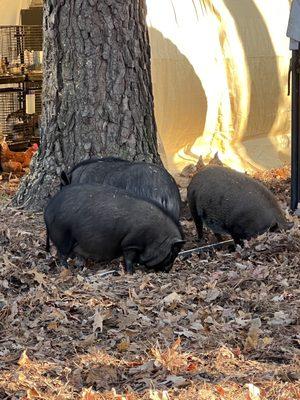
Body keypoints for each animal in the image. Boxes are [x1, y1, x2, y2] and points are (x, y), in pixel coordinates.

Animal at [44, 184, 184, 272]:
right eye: (173, 253)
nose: (168, 270)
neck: (155, 236)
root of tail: (48, 210)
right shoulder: (130, 243)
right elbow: (128, 258)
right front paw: (131, 272)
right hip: (63, 234)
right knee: (62, 254)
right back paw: (67, 269)